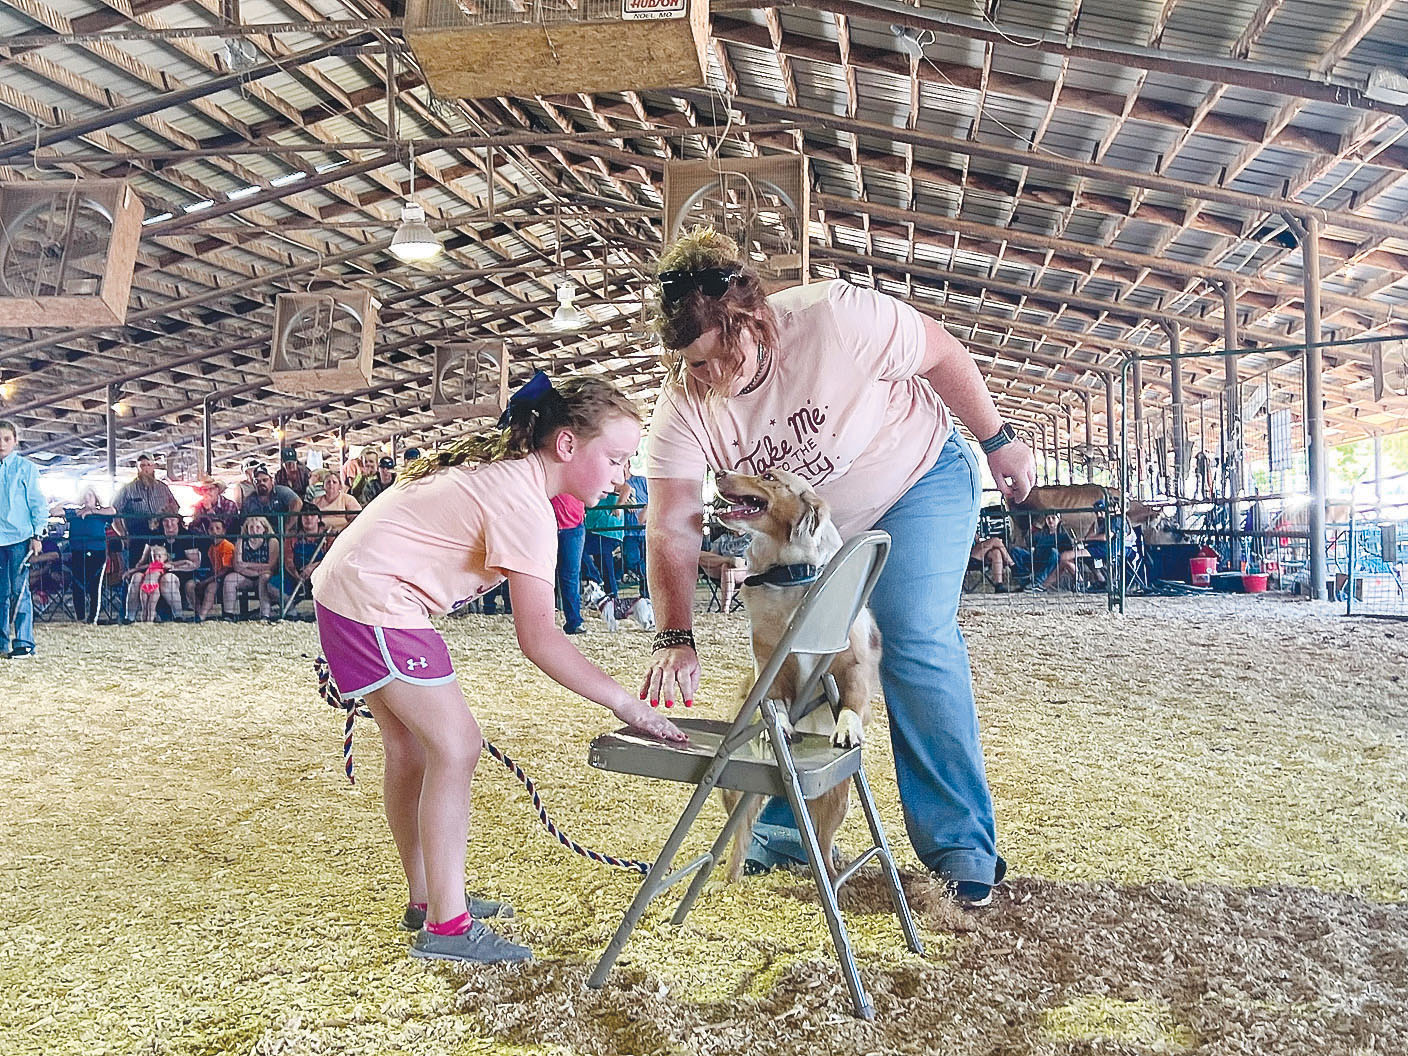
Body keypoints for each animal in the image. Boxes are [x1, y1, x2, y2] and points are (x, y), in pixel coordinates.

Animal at [715, 470, 878, 884]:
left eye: (769, 476)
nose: (719, 473)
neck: (790, 577)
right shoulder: (769, 665)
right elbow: (774, 700)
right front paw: (780, 726)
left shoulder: (851, 666)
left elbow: (851, 701)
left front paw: (847, 728)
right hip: (739, 791)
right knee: (739, 837)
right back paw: (729, 882)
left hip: (837, 796)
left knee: (822, 846)